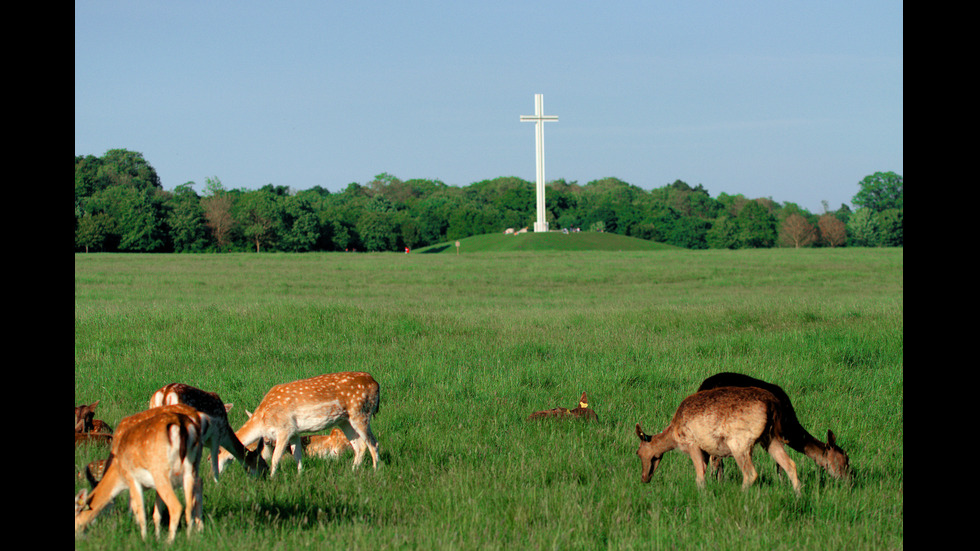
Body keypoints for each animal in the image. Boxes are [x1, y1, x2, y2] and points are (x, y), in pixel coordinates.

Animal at [75, 406, 209, 544]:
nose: (104, 523)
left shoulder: (133, 479)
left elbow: (138, 509)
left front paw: (142, 537)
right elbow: (155, 512)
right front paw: (156, 535)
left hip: (162, 472)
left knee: (177, 505)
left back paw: (170, 542)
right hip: (192, 465)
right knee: (196, 490)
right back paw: (195, 533)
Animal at [219, 370, 382, 478]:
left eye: (218, 452)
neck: (262, 419)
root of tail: (376, 384)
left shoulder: (284, 429)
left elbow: (276, 457)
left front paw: (272, 479)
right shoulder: (294, 432)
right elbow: (297, 455)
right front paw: (300, 475)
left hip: (360, 413)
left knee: (373, 443)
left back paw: (375, 471)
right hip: (344, 421)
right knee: (359, 446)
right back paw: (353, 471)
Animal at [636, 384, 804, 496]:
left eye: (638, 452)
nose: (644, 478)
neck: (674, 435)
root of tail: (773, 404)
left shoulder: (692, 443)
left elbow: (700, 477)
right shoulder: (706, 451)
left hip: (740, 443)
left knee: (751, 473)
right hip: (770, 438)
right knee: (790, 464)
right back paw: (798, 495)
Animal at [696, 374, 848, 480]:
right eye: (844, 461)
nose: (849, 481)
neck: (790, 427)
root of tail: (703, 386)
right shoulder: (778, 432)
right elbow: (779, 463)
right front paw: (782, 482)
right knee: (715, 458)